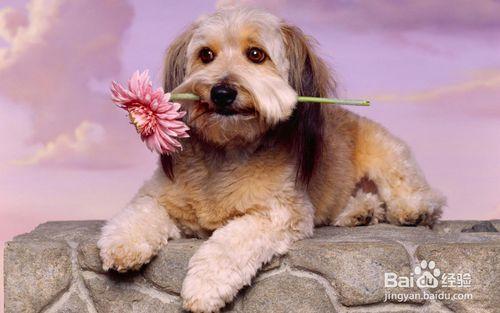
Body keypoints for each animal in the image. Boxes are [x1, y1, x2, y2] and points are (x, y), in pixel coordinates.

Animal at [97, 5, 446, 312]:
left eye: (256, 54)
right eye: (205, 55)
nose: (221, 92)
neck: (227, 151)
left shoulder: (278, 213)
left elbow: (231, 242)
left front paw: (205, 286)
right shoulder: (159, 196)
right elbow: (141, 212)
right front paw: (123, 243)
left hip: (387, 152)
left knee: (419, 193)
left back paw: (412, 211)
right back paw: (360, 211)